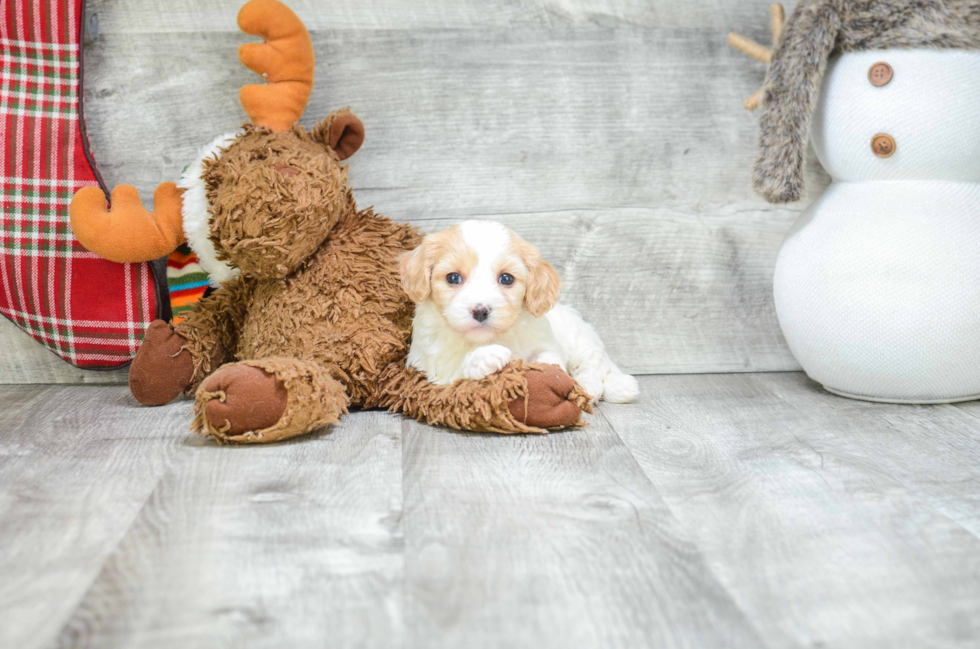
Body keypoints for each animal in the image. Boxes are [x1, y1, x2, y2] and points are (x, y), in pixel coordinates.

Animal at [400, 220, 640, 402]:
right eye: (453, 278)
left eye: (506, 278)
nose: (480, 311)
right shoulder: (431, 363)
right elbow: (456, 369)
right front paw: (484, 357)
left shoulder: (545, 342)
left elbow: (549, 361)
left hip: (581, 341)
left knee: (594, 365)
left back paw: (593, 386)